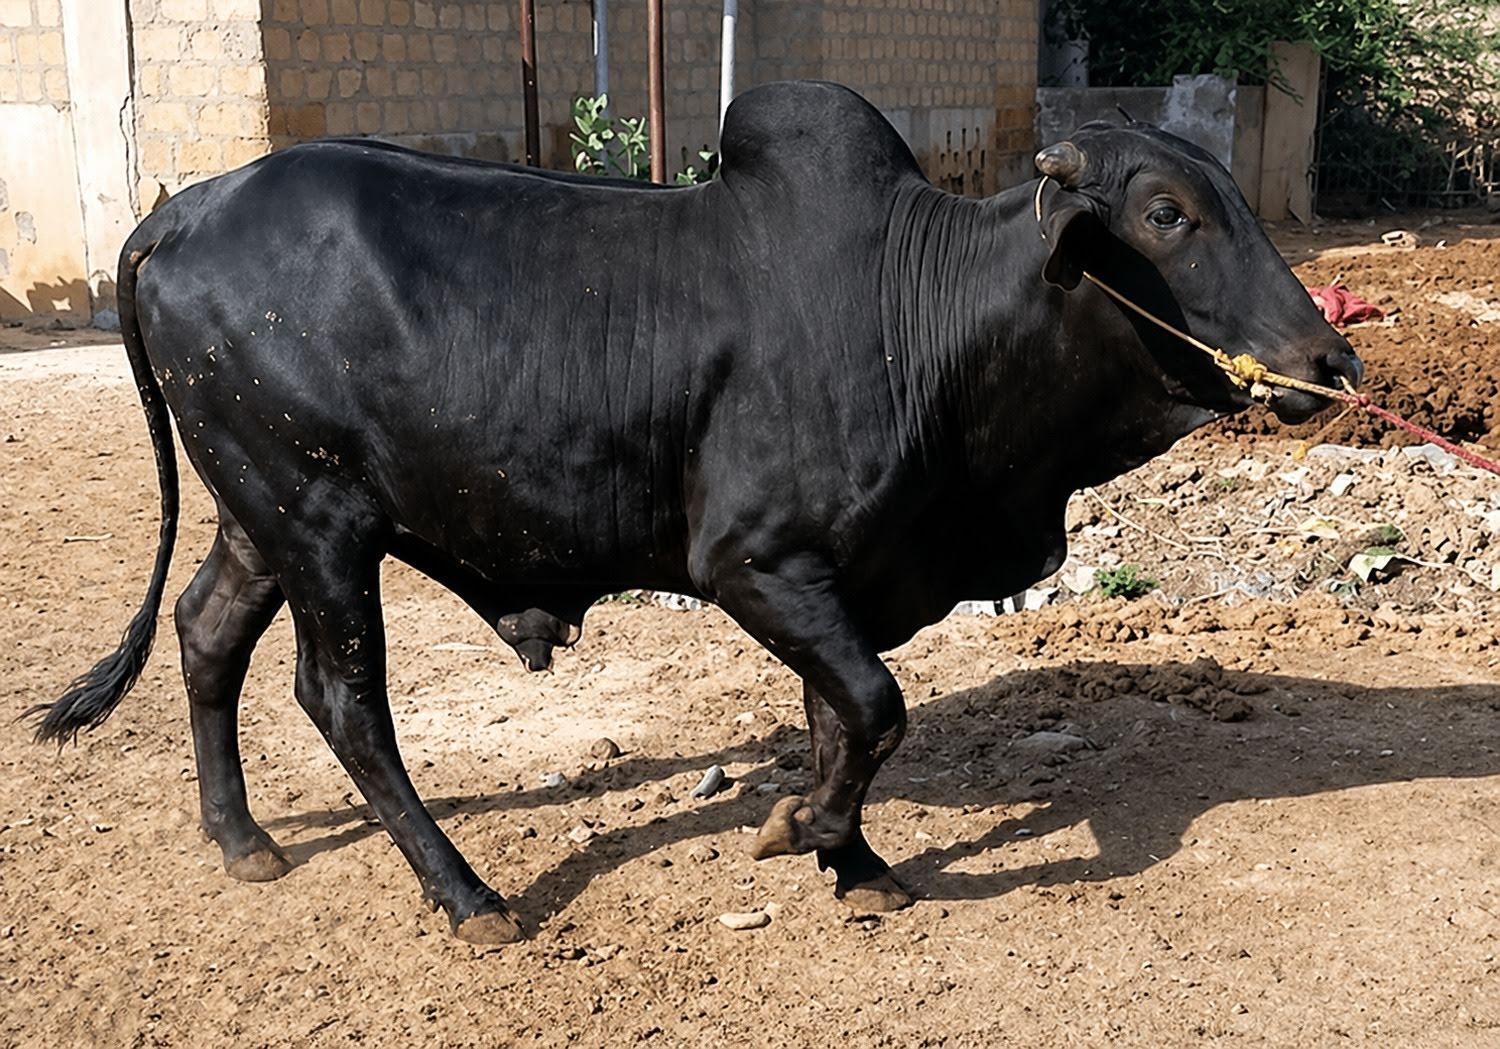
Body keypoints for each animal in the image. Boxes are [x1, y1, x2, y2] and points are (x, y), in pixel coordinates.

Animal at [29, 81, 1361, 945]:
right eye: (1169, 214)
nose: (1331, 362)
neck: (922, 316)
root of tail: (180, 211)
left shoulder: (837, 577)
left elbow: (838, 717)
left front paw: (849, 856)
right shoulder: (755, 563)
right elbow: (874, 707)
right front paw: (806, 831)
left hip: (258, 515)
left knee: (206, 632)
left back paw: (241, 838)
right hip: (318, 522)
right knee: (342, 699)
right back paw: (469, 897)